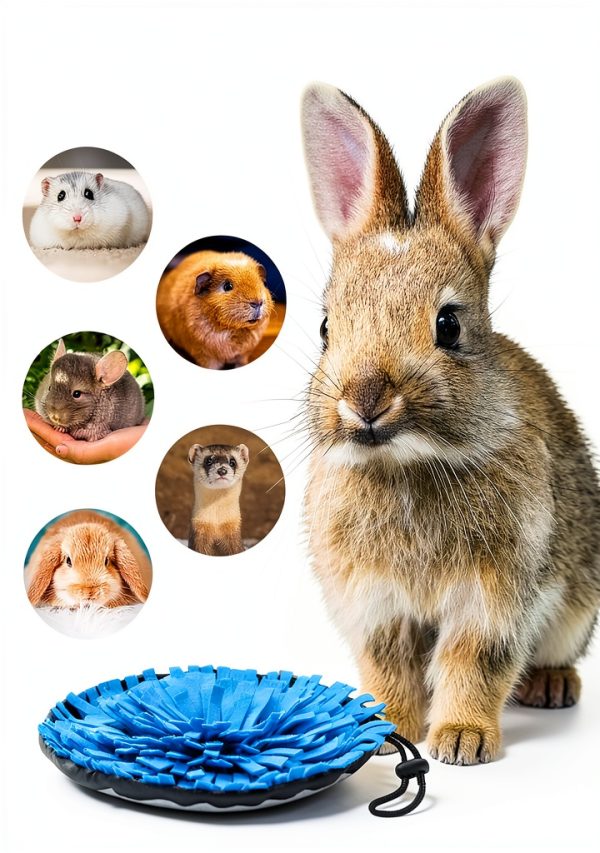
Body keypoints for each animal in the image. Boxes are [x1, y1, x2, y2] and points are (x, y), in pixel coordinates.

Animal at [301, 77, 600, 765]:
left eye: (449, 325)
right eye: (326, 327)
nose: (365, 398)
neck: (407, 461)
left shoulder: (492, 599)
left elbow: (474, 663)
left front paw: (462, 741)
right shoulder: (376, 606)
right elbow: (388, 669)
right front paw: (387, 733)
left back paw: (550, 687)